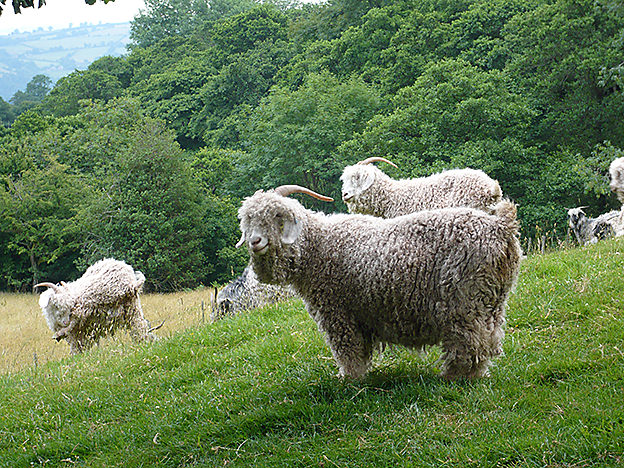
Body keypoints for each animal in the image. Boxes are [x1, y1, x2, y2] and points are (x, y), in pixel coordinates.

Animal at [239, 184, 520, 380]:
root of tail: (501, 226)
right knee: (489, 339)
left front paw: (350, 379)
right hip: (492, 300)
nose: (255, 242)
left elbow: (348, 350)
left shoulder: (338, 312)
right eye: (247, 220)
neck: (318, 245)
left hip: (464, 299)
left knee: (469, 341)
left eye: (277, 216)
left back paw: (455, 376)